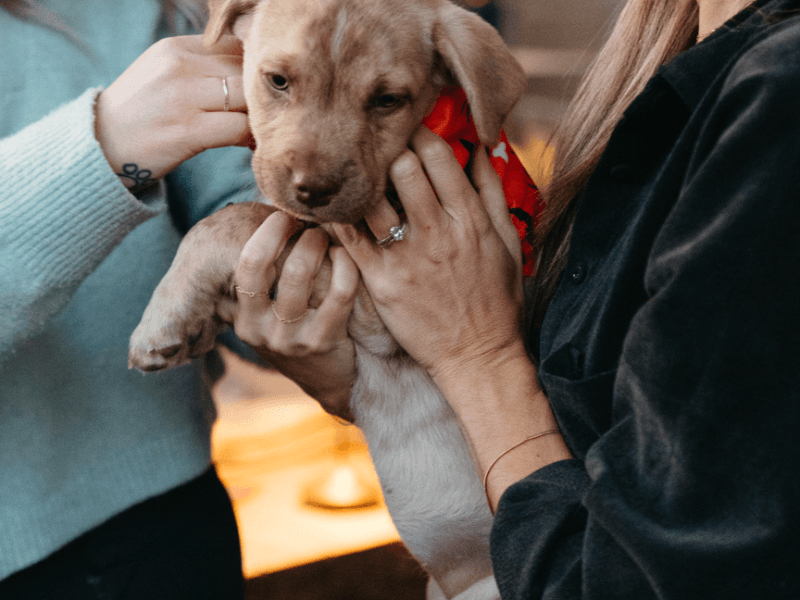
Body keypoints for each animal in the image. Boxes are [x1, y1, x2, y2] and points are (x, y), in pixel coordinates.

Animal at [130, 2, 528, 596]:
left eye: (388, 100)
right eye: (278, 81)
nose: (312, 190)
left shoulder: (381, 299)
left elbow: (239, 217)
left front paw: (161, 320)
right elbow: (253, 216)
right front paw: (189, 320)